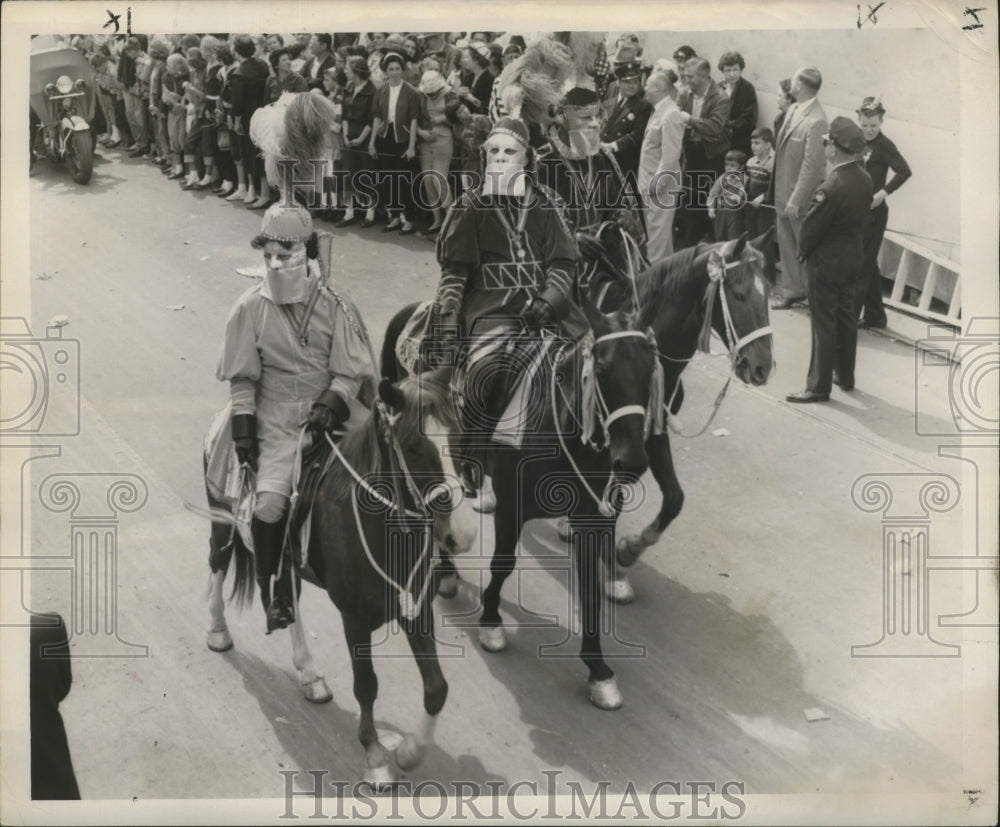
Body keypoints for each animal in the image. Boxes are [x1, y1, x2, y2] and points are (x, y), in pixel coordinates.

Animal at [202, 372, 476, 784]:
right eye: (413, 447)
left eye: (459, 438)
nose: (462, 534)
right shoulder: (355, 620)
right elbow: (366, 685)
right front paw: (375, 755)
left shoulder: (416, 609)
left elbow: (436, 688)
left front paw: (411, 751)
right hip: (223, 520)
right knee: (218, 562)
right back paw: (219, 629)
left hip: (290, 562)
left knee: (290, 599)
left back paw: (309, 673)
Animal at [382, 300, 664, 712]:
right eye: (602, 370)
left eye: (649, 369)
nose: (632, 462)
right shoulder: (510, 507)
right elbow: (503, 563)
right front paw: (491, 621)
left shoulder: (591, 518)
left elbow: (590, 589)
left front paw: (598, 669)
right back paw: (447, 572)